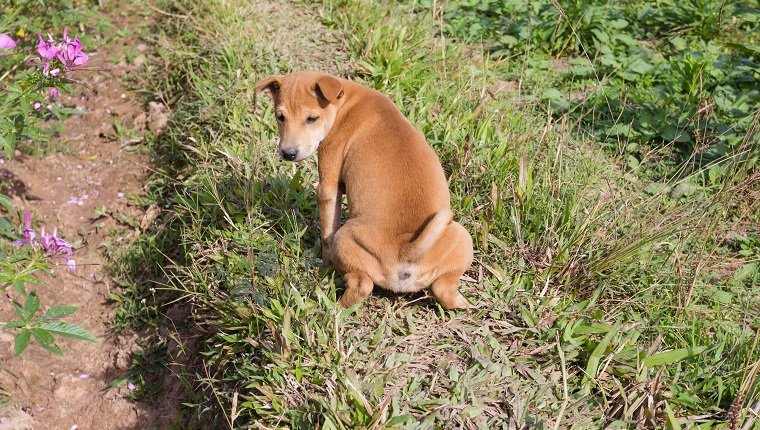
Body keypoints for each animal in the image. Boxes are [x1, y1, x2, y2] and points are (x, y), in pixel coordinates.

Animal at [258, 71, 472, 310]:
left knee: (361, 285)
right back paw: (465, 304)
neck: (345, 102)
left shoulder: (328, 185)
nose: (288, 153)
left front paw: (323, 265)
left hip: (345, 239)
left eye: (312, 118)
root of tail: (406, 250)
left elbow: (327, 235)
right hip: (462, 237)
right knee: (444, 289)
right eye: (280, 117)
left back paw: (333, 307)